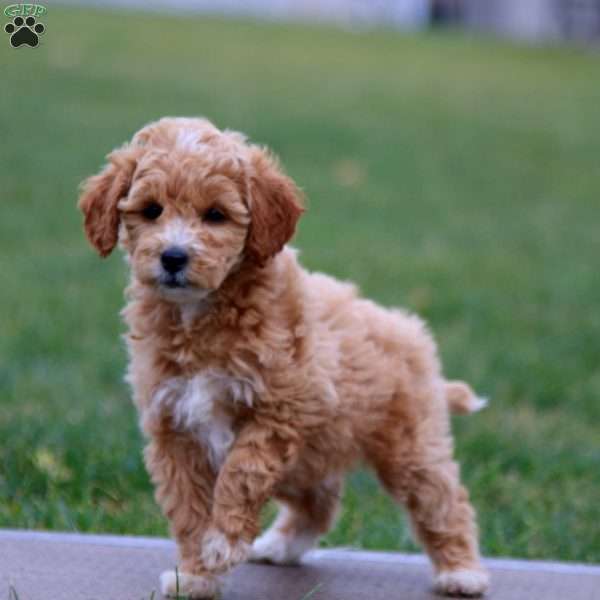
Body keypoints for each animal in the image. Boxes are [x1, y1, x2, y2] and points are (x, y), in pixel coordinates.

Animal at [79, 116, 490, 596]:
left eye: (215, 215)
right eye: (151, 210)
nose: (173, 257)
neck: (202, 315)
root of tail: (411, 332)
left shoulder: (282, 409)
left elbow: (241, 472)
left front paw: (223, 543)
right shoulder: (174, 429)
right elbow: (188, 510)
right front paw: (197, 574)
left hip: (409, 446)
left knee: (443, 501)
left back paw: (461, 571)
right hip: (310, 459)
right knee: (320, 503)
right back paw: (281, 546)